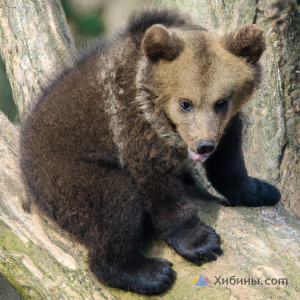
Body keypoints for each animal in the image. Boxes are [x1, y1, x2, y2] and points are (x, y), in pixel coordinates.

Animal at [19, 7, 280, 296]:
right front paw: (201, 243)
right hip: (64, 173)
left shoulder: (225, 125)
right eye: (185, 103)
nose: (203, 144)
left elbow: (228, 160)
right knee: (115, 199)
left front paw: (261, 190)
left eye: (220, 102)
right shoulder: (132, 121)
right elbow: (157, 183)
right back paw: (150, 273)